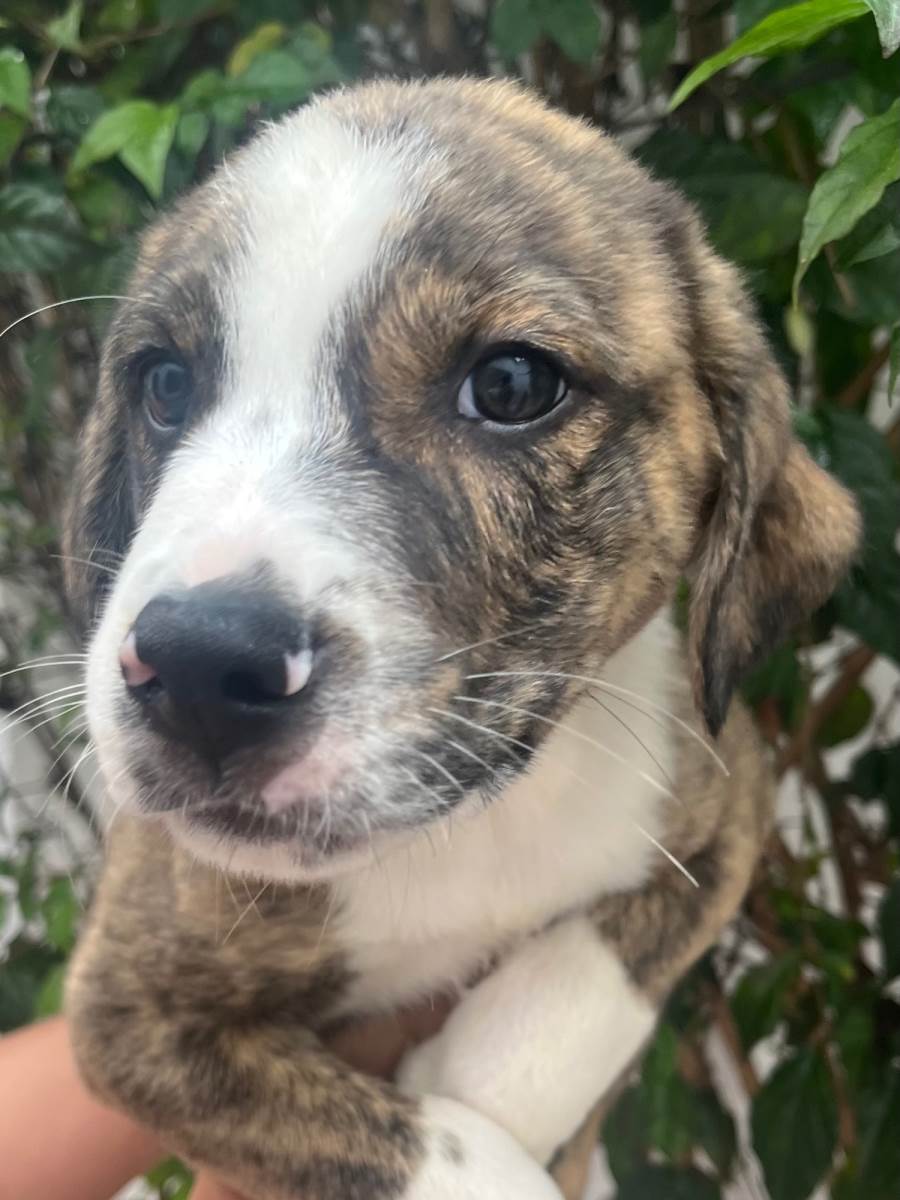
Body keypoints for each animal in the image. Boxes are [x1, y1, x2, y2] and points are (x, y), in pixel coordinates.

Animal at [63, 77, 859, 1200]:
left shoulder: (726, 800)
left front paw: (470, 1076)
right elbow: (393, 1147)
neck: (468, 825)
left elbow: (595, 973)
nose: (196, 669)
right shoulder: (124, 1008)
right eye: (164, 384)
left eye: (514, 385)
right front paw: (473, 1146)